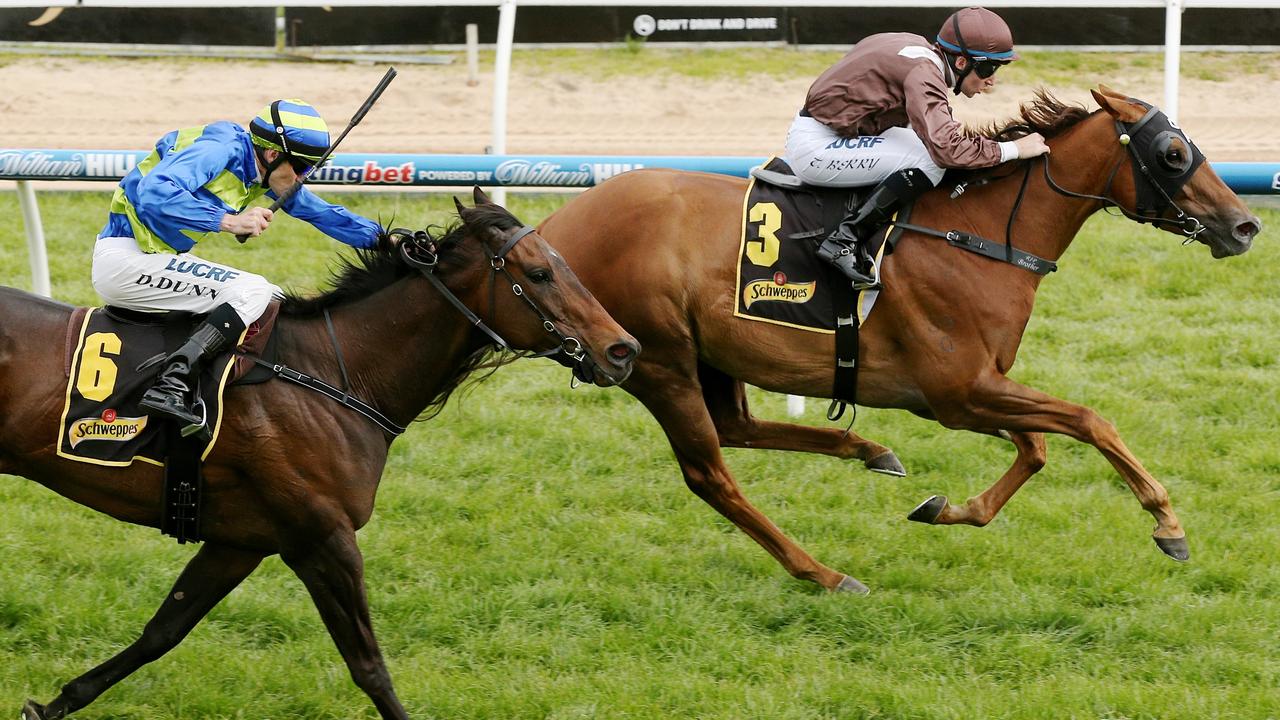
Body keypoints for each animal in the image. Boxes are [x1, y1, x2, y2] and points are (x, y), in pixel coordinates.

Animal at [2, 189, 637, 717]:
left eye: (566, 263)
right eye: (540, 272)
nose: (622, 349)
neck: (333, 372)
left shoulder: (241, 541)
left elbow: (162, 631)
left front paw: (55, 703)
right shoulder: (323, 539)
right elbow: (370, 667)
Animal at [537, 88, 1259, 594]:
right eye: (1172, 153)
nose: (1245, 224)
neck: (981, 235)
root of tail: (552, 232)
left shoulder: (964, 393)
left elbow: (1036, 448)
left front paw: (945, 509)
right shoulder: (960, 392)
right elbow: (1089, 421)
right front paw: (1168, 524)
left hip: (707, 356)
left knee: (737, 428)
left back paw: (868, 450)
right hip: (657, 362)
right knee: (710, 473)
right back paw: (825, 572)